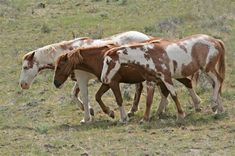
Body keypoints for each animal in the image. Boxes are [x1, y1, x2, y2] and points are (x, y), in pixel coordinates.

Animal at [19, 30, 153, 123]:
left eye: (25, 67)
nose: (23, 84)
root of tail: (148, 38)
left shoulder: (82, 78)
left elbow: (84, 95)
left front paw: (87, 117)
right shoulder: (79, 79)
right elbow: (74, 94)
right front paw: (89, 110)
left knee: (139, 88)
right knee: (139, 87)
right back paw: (132, 111)